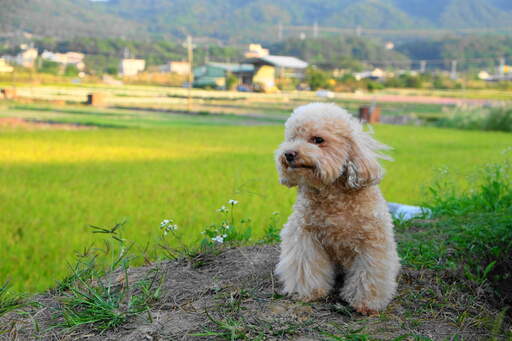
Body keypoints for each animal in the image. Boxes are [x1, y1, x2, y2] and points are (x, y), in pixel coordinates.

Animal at [276, 102, 400, 314]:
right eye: (292, 139)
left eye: (318, 140)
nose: (288, 154)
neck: (332, 195)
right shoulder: (305, 236)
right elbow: (306, 266)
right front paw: (309, 292)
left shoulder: (372, 243)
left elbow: (369, 274)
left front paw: (366, 303)